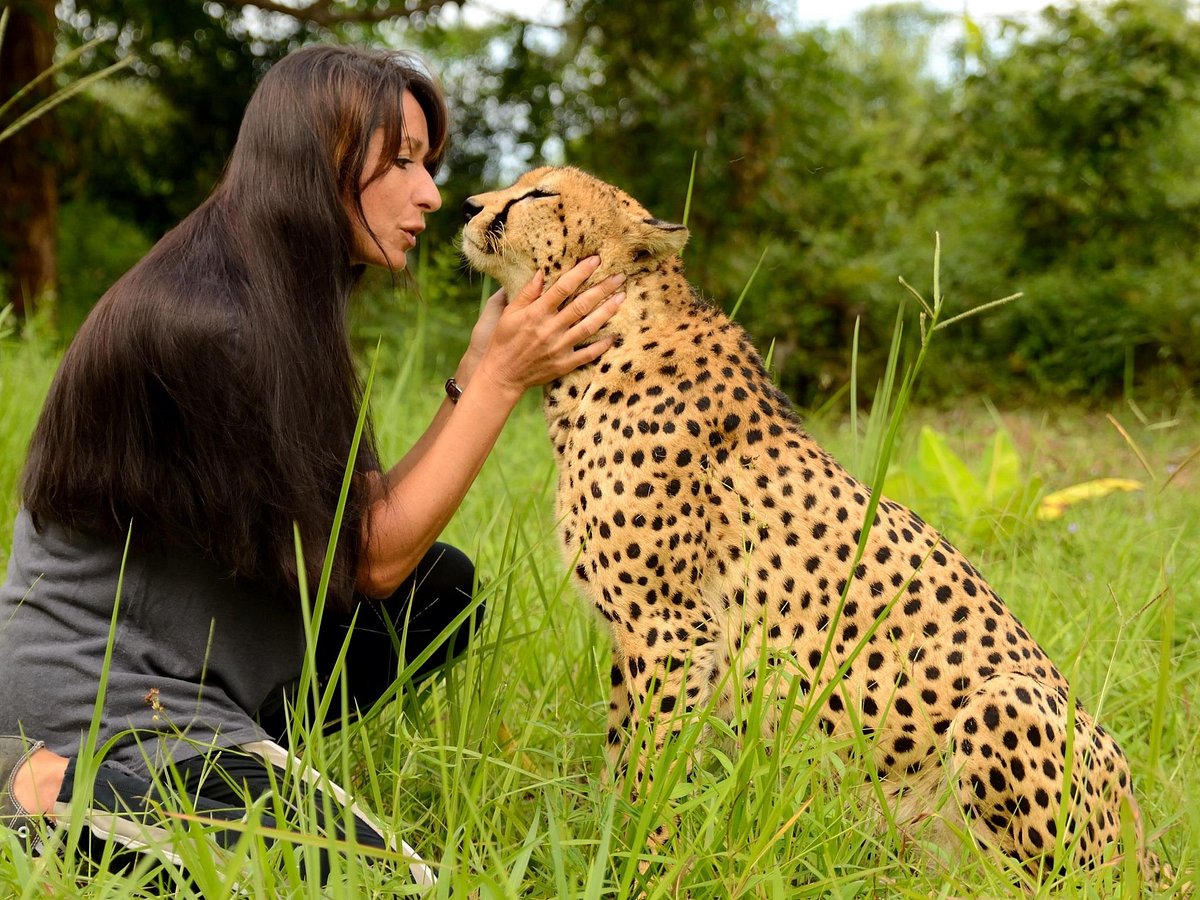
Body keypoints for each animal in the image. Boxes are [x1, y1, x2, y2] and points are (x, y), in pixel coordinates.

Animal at [462, 166, 1154, 880]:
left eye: (540, 194)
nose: (468, 205)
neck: (615, 336)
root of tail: (1145, 841)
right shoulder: (650, 635)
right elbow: (623, 747)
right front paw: (598, 837)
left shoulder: (668, 626)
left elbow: (651, 758)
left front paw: (637, 854)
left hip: (1006, 705)